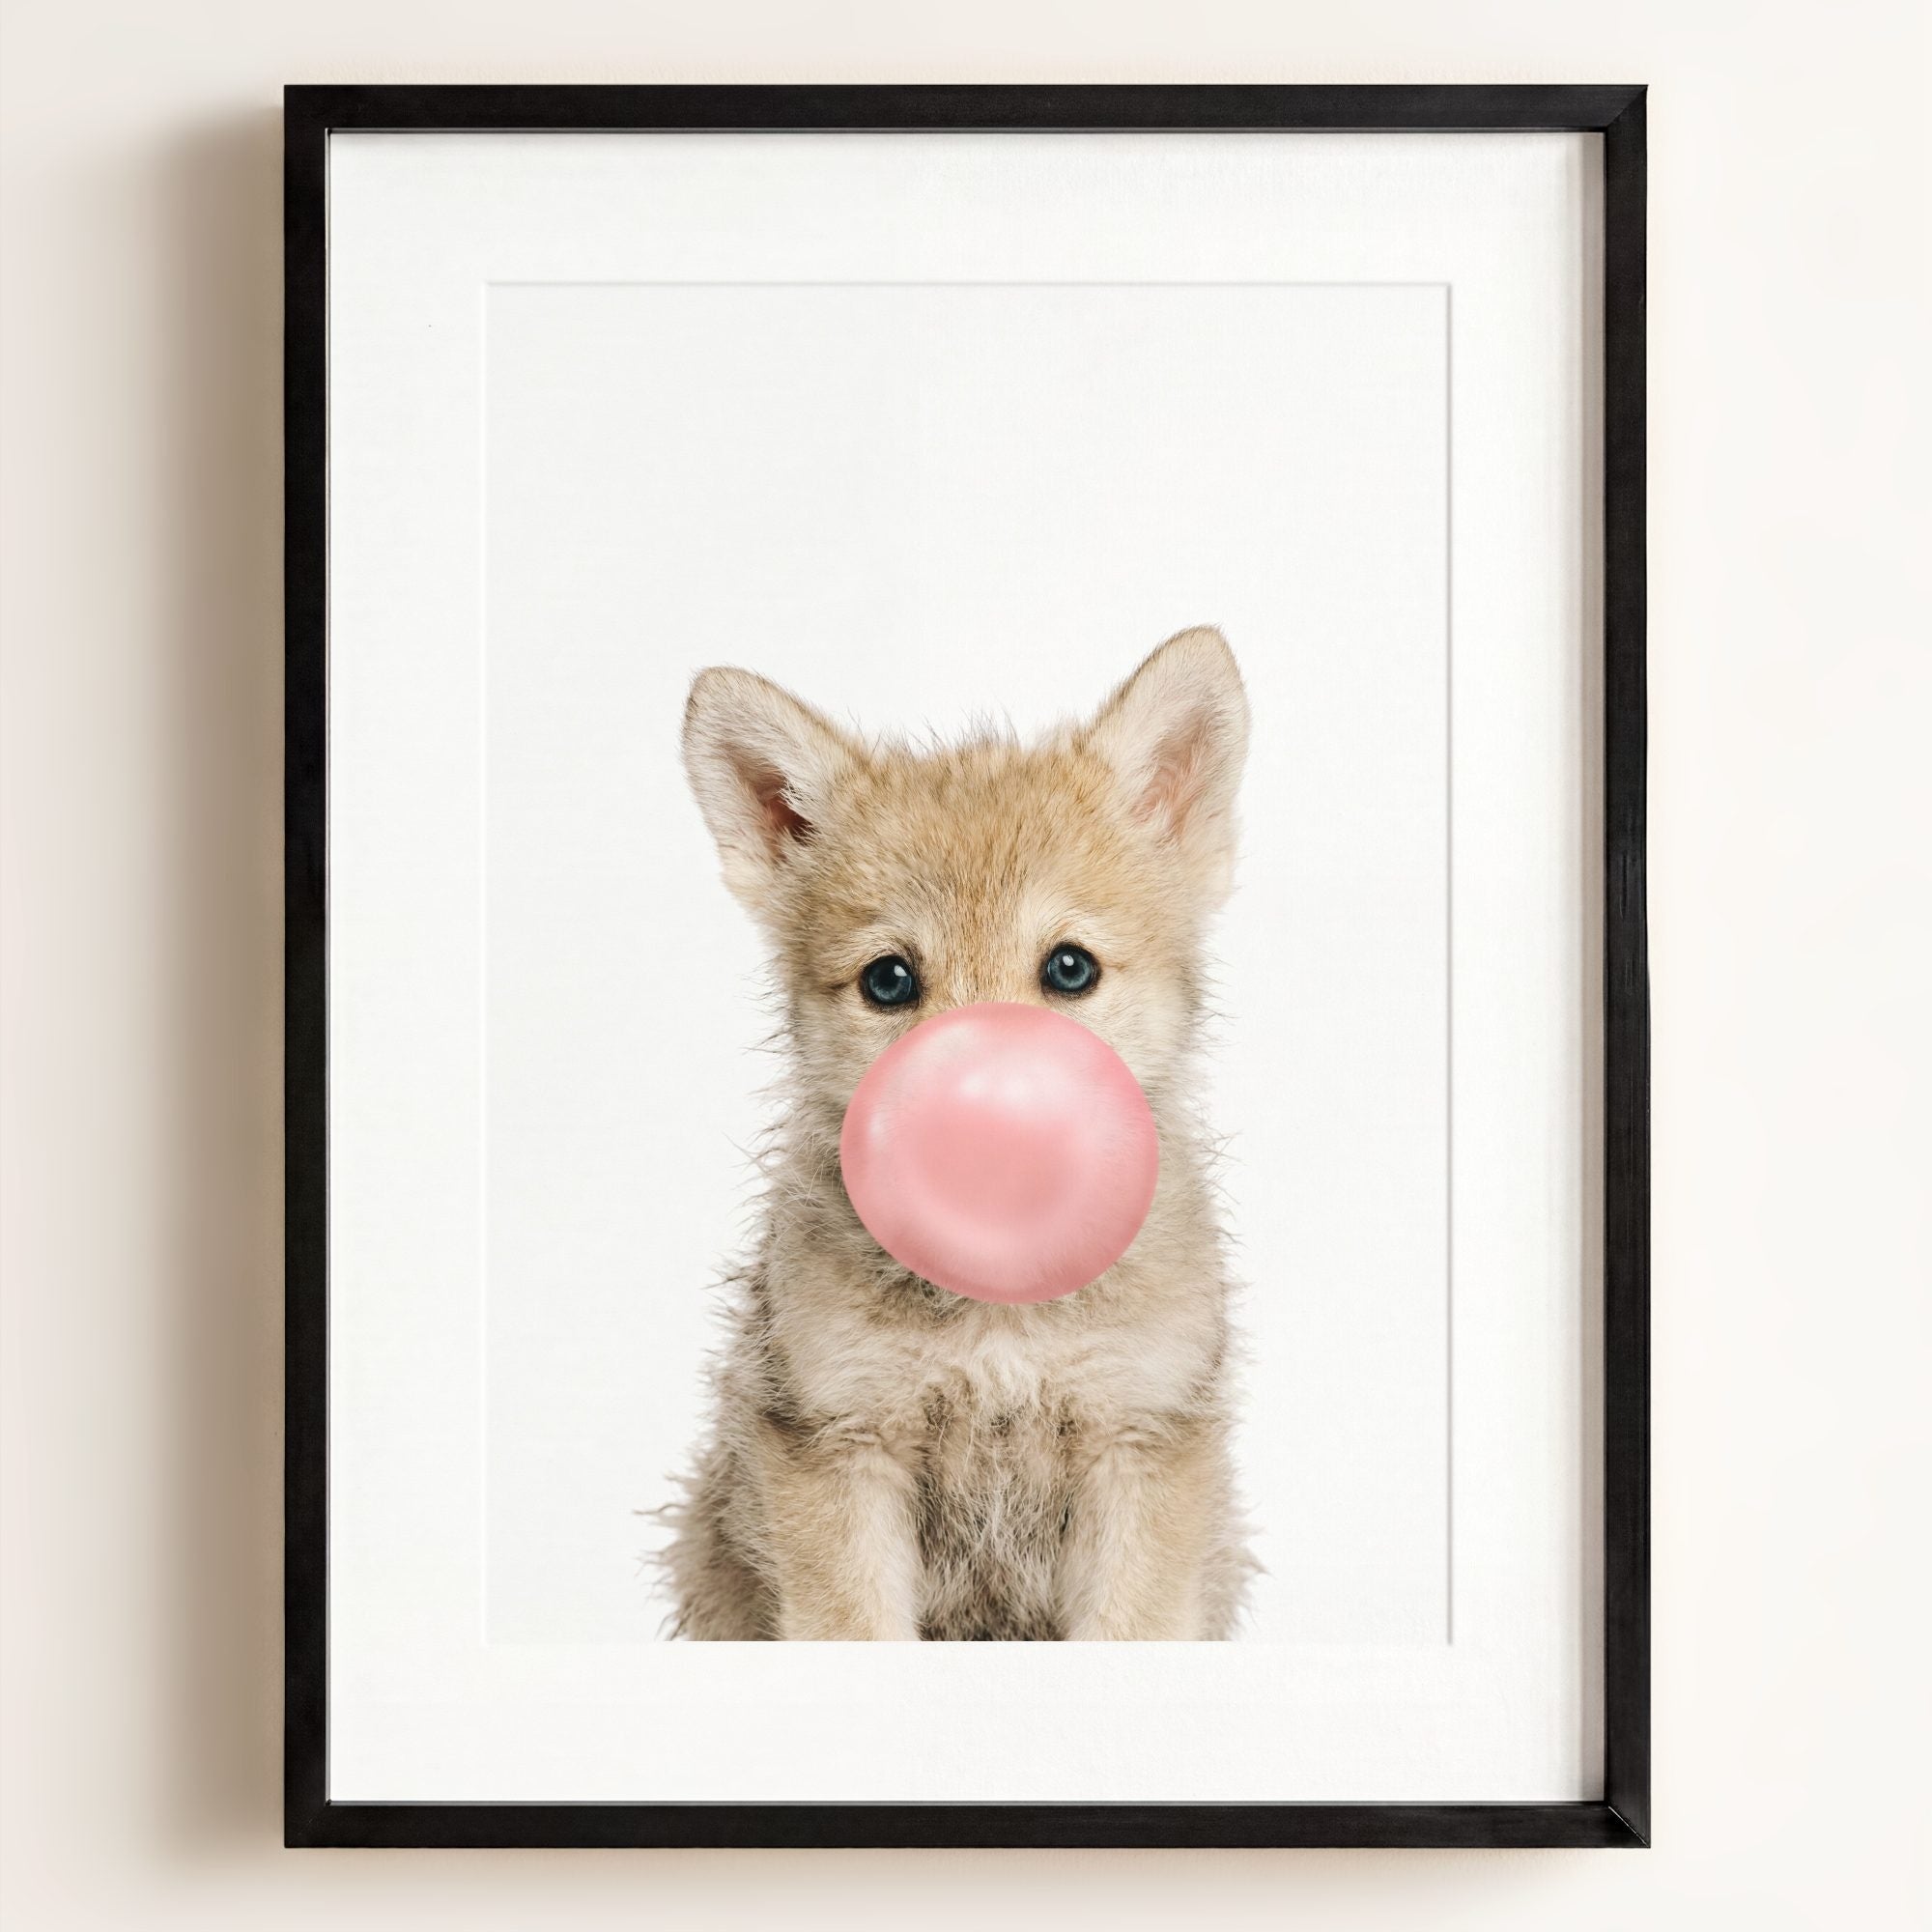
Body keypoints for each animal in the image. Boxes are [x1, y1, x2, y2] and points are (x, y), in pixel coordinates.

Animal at [662, 627, 1254, 1639]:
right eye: (889, 980)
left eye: (1069, 968)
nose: (982, 1120)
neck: (999, 1312)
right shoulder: (840, 1447)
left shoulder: (1140, 1443)